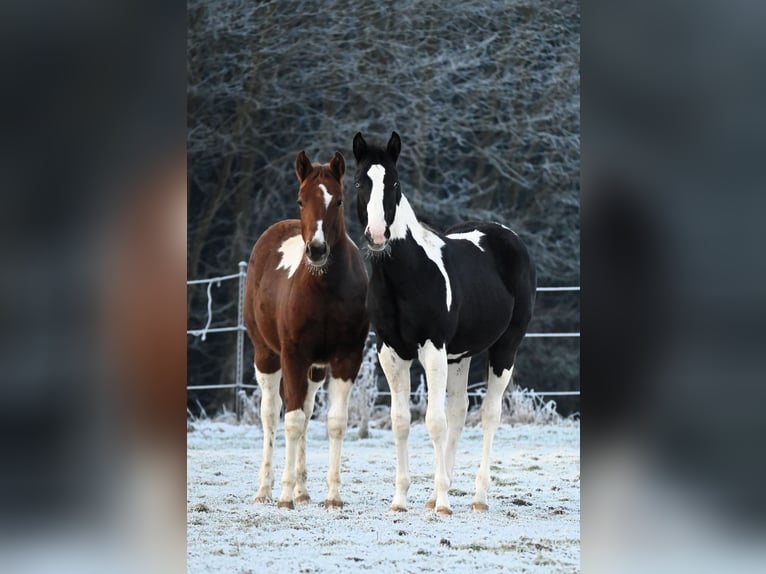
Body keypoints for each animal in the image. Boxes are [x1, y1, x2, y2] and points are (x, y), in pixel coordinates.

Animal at [244, 151, 368, 510]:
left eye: (338, 201)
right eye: (301, 200)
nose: (316, 249)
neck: (323, 288)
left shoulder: (345, 359)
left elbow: (334, 422)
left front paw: (333, 496)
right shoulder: (293, 357)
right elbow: (293, 421)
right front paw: (284, 496)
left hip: (314, 368)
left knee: (307, 409)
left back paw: (302, 490)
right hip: (267, 356)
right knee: (271, 415)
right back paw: (266, 490)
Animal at [356, 132, 540, 516]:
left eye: (394, 183)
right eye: (359, 183)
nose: (377, 236)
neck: (407, 274)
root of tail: (507, 236)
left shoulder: (433, 349)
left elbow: (433, 421)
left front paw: (443, 502)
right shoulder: (390, 353)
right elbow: (401, 421)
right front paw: (401, 500)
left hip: (505, 348)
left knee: (488, 415)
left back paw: (478, 497)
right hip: (460, 356)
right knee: (459, 412)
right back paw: (437, 494)